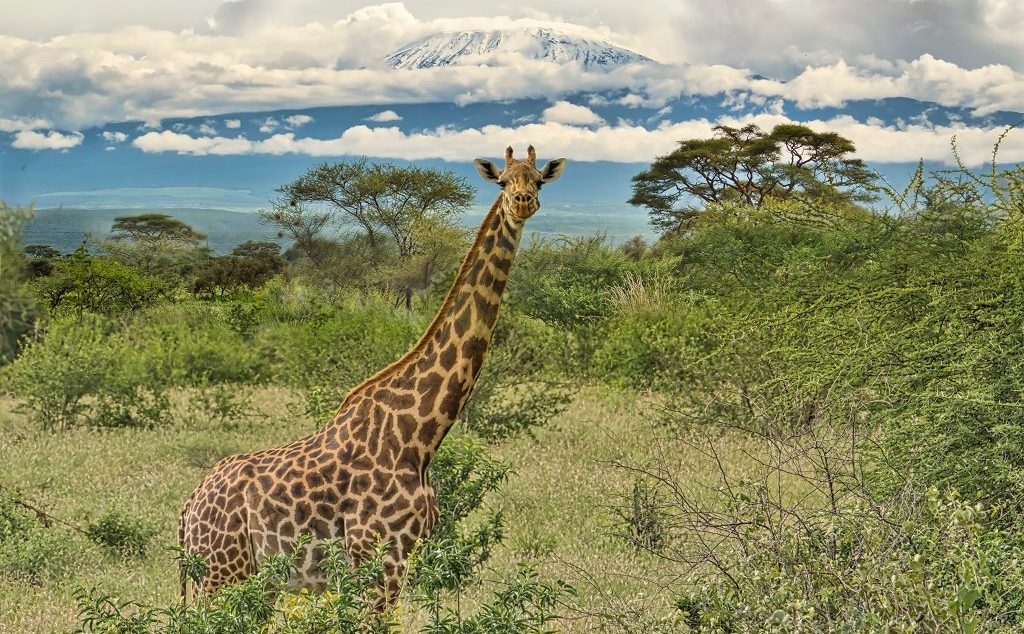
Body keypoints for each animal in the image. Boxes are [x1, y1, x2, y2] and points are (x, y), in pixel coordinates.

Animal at [177, 145, 569, 606]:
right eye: (503, 182)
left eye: (539, 180)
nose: (523, 202)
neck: (421, 435)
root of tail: (187, 511)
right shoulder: (379, 558)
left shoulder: (405, 555)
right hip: (222, 575)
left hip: (246, 580)